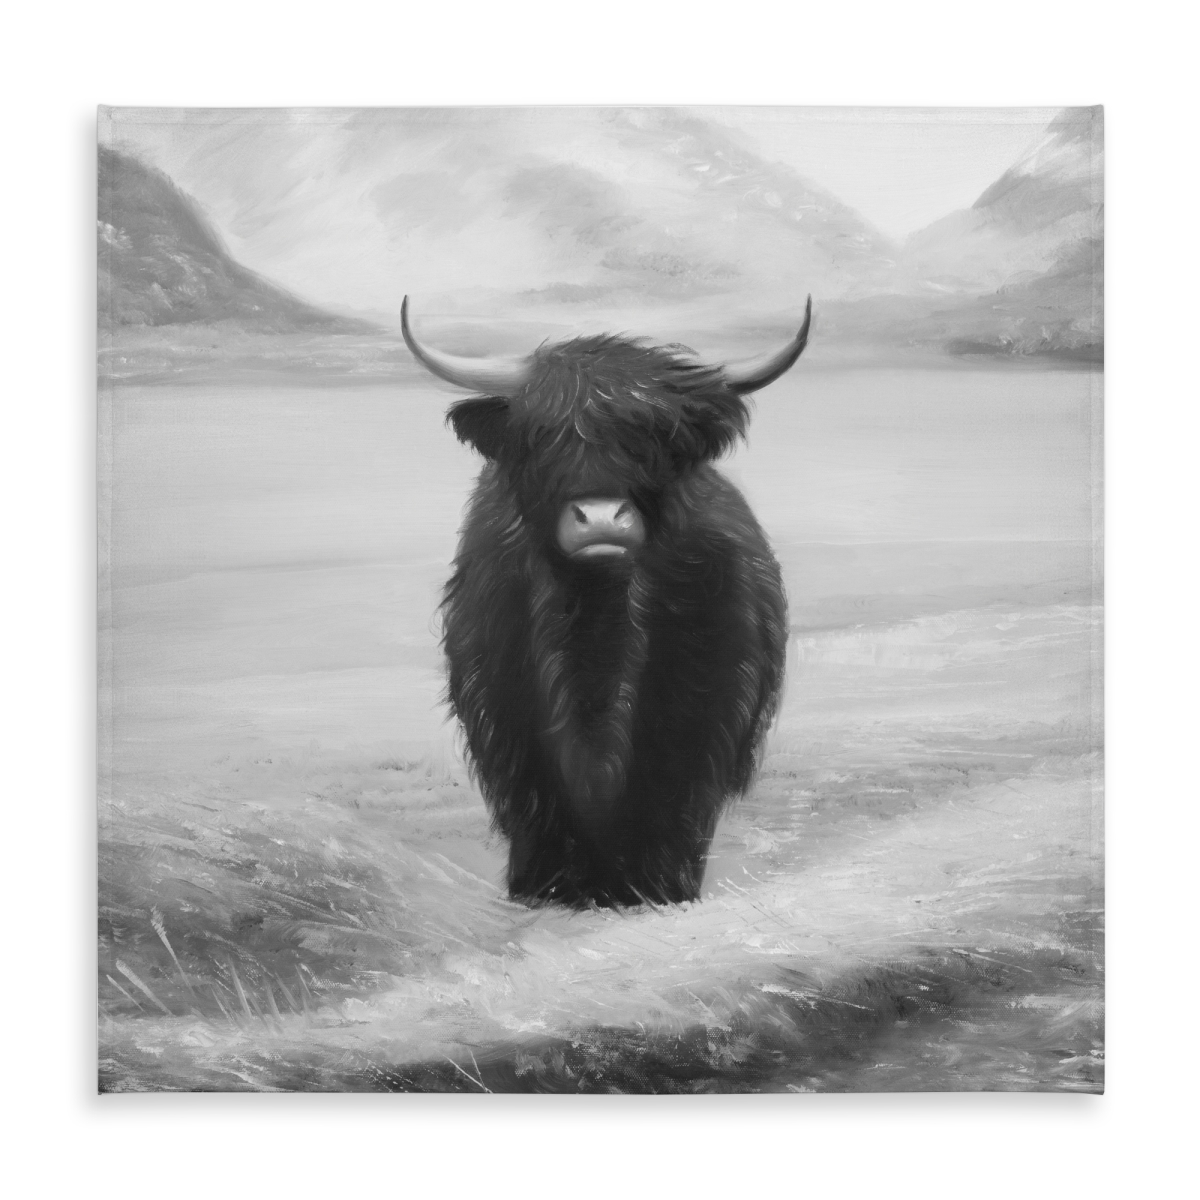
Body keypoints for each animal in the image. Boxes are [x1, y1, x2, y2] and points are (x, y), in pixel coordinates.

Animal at [402, 296, 811, 908]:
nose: (600, 519)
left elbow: (671, 821)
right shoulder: (512, 743)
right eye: (540, 436)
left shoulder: (699, 735)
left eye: (658, 440)